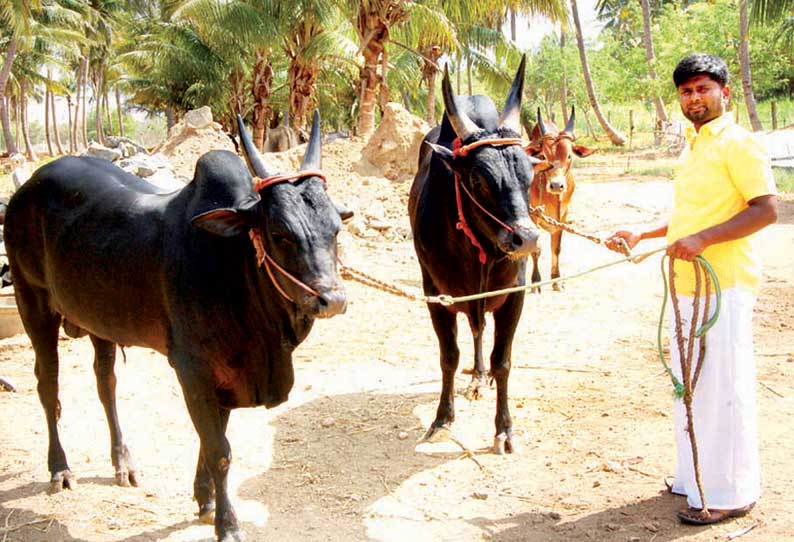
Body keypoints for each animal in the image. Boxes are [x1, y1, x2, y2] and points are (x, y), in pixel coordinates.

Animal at [2, 110, 344, 542]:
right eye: (280, 234)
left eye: (335, 230)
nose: (332, 300)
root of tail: (26, 188)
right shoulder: (192, 366)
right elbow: (219, 449)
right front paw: (228, 524)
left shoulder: (225, 372)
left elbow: (212, 438)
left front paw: (206, 499)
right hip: (33, 302)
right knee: (48, 385)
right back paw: (60, 469)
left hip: (100, 320)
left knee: (105, 383)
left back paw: (123, 463)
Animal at [408, 55, 544, 454]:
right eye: (478, 180)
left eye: (529, 175)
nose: (527, 239)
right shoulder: (436, 295)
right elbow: (449, 357)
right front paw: (441, 418)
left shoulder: (514, 295)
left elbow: (503, 361)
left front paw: (504, 429)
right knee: (474, 329)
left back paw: (481, 377)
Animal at [524, 107, 592, 294]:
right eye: (543, 156)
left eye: (569, 156)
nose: (556, 185)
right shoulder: (533, 216)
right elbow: (536, 250)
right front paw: (536, 281)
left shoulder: (562, 217)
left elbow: (556, 248)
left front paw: (556, 279)